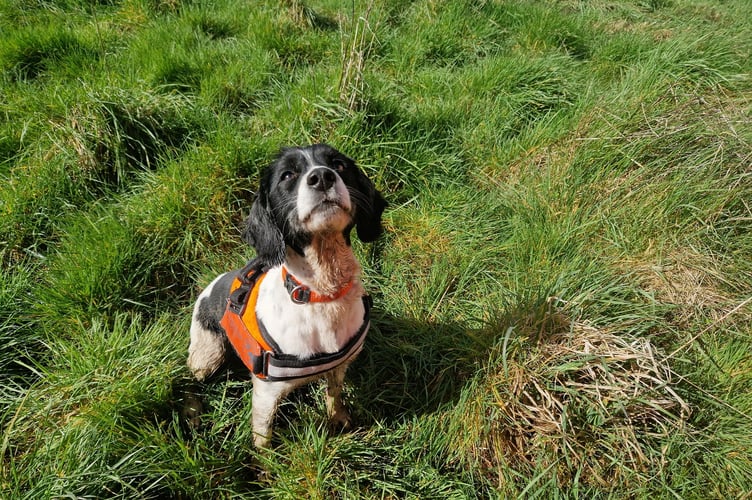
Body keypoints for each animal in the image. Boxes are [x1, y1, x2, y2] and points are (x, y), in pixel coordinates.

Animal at [187, 143, 384, 448]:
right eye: (288, 175)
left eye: (338, 165)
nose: (322, 176)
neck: (319, 296)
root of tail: (208, 289)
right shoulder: (266, 393)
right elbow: (263, 438)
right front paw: (266, 461)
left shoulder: (339, 366)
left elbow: (334, 394)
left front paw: (339, 418)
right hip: (206, 357)